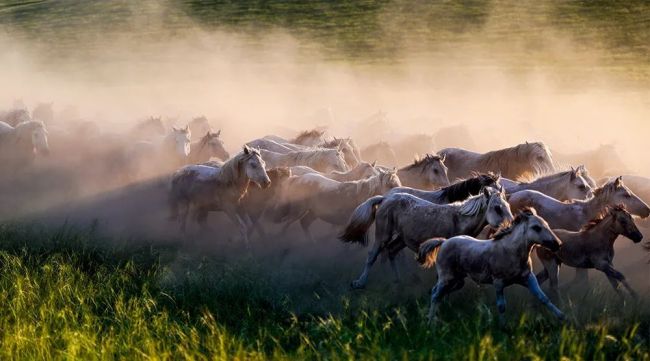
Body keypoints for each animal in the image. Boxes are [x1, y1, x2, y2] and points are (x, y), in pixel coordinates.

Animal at [416, 208, 560, 324]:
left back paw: (435, 317)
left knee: (437, 292)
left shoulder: (528, 278)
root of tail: (444, 241)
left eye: (547, 225)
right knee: (436, 295)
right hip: (446, 277)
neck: (511, 252)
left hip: (457, 280)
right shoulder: (498, 282)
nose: (557, 244)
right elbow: (501, 306)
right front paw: (504, 328)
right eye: (536, 227)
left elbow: (544, 298)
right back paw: (431, 323)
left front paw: (562, 318)